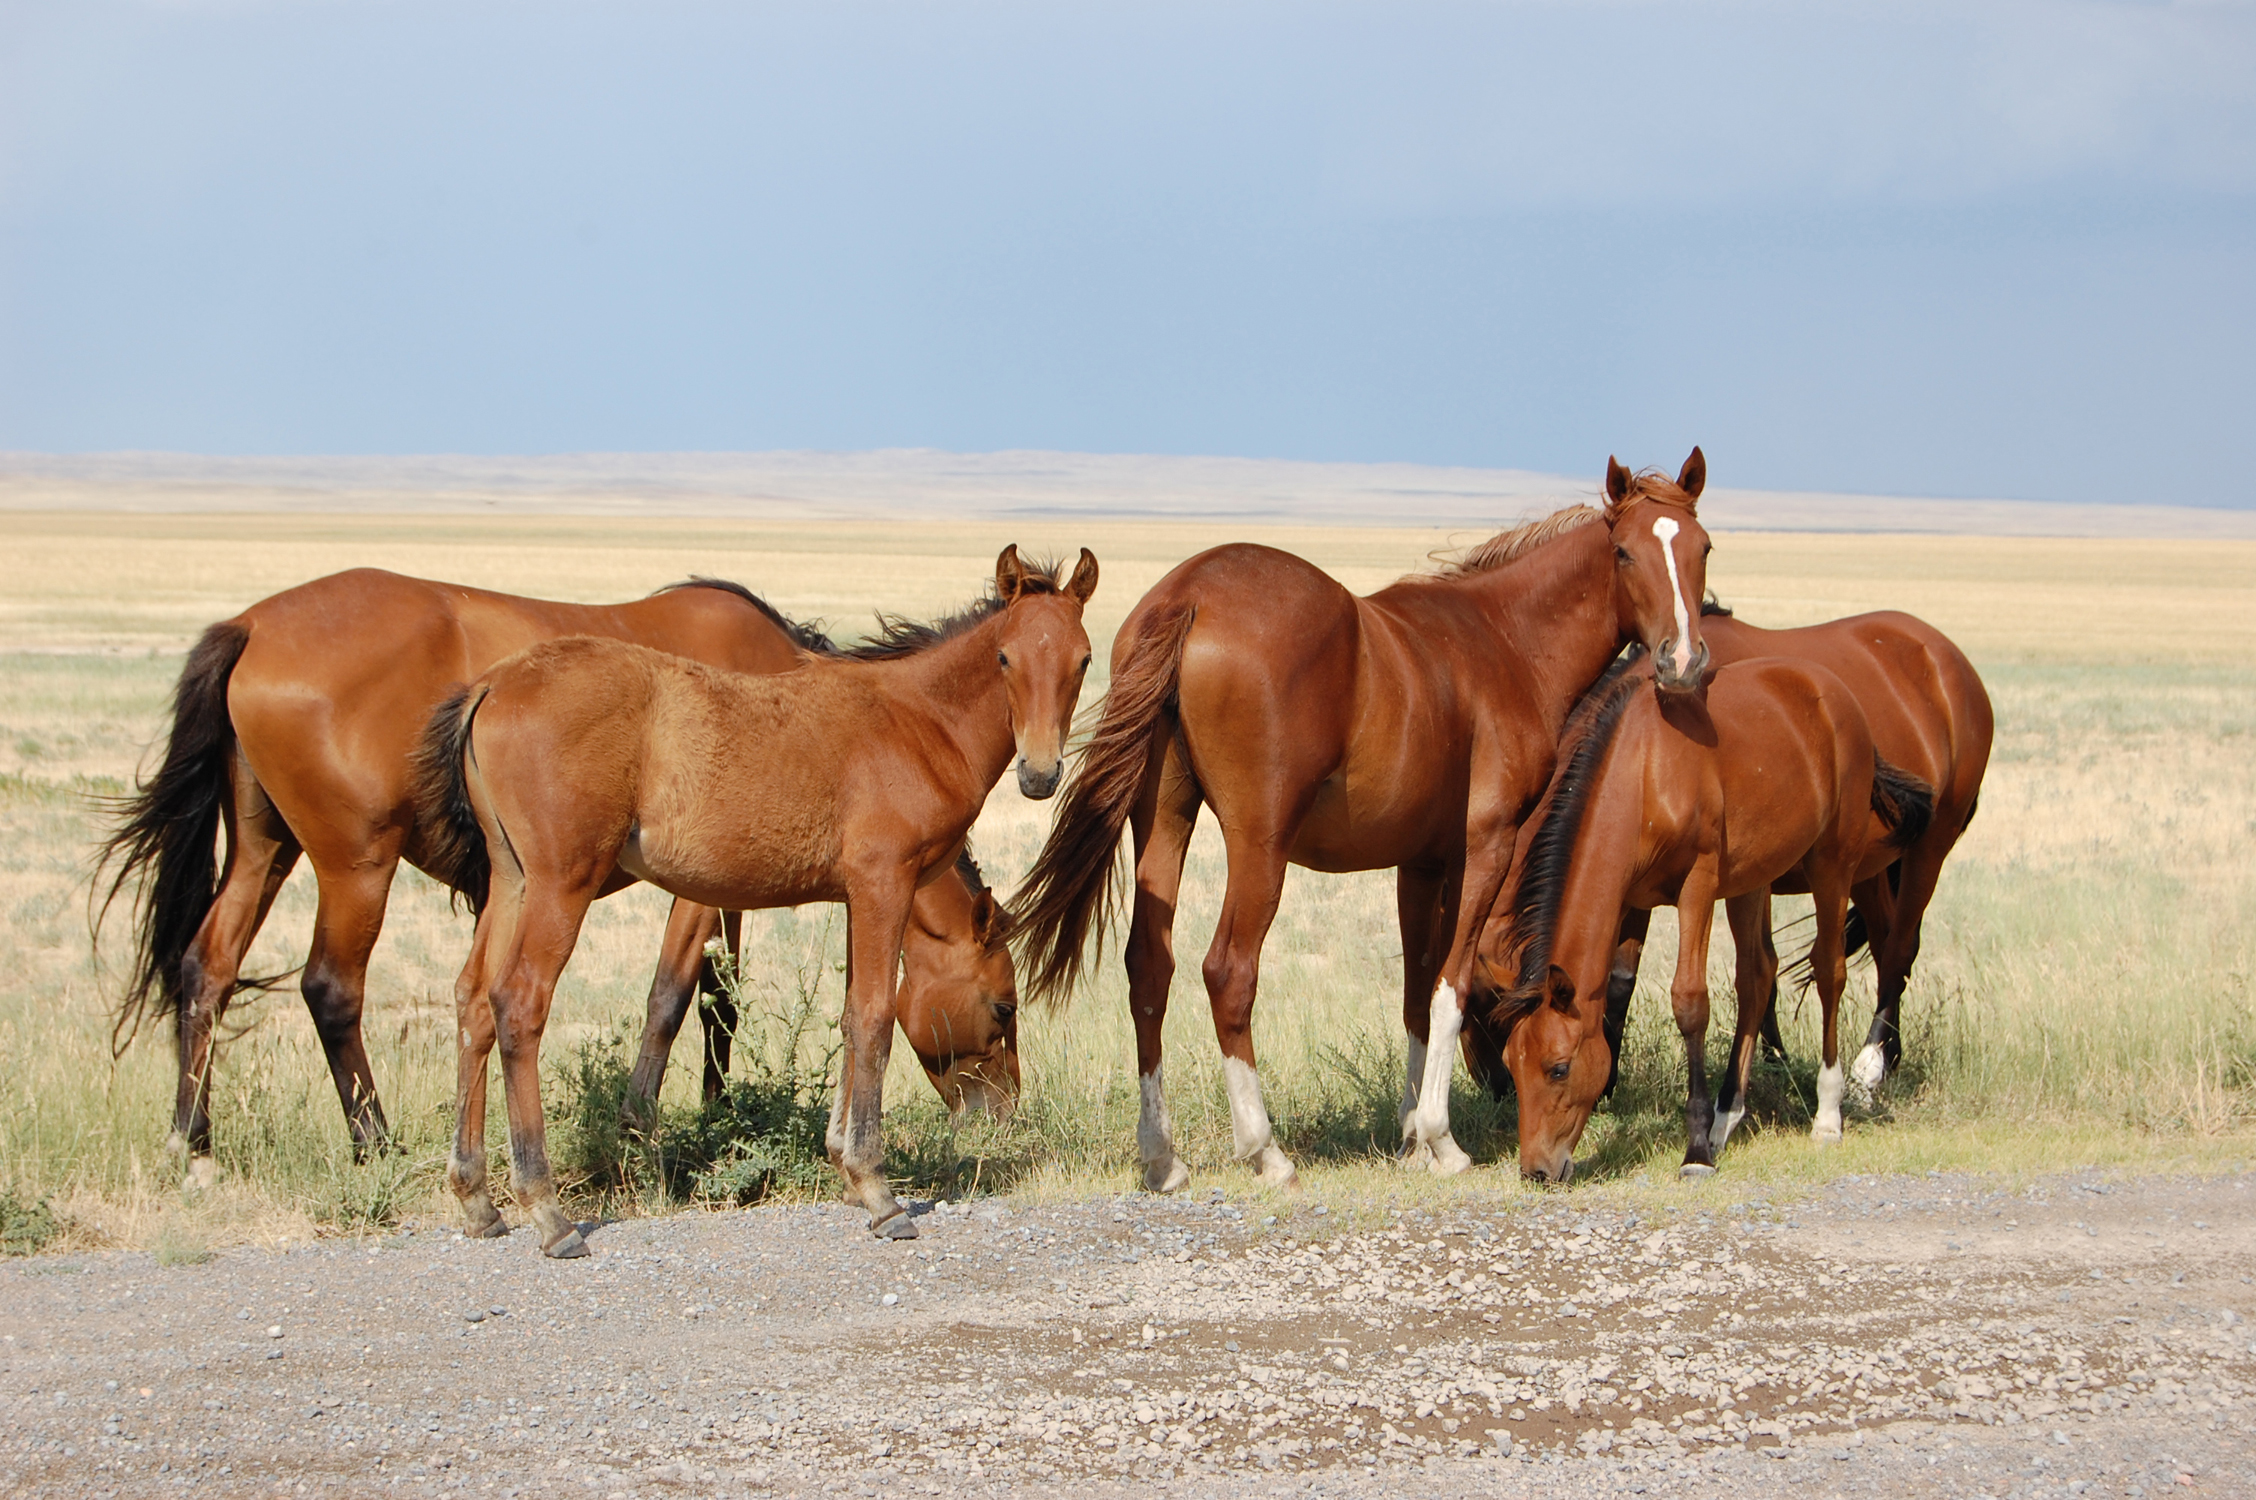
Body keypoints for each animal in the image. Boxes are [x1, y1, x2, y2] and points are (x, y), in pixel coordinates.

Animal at [99, 563, 1024, 1172]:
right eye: (1005, 1008)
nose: (1005, 1116)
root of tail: (254, 624)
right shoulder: (698, 891)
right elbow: (674, 999)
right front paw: (643, 1129)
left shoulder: (733, 892)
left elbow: (720, 1007)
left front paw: (718, 1112)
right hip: (355, 864)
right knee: (331, 989)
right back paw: (377, 1143)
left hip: (266, 851)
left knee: (206, 968)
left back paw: (194, 1142)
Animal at [421, 543, 1100, 1245]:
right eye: (1005, 658)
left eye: (1082, 659)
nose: (1040, 774)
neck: (916, 722)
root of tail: (493, 685)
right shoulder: (884, 883)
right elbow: (875, 1018)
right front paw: (877, 1191)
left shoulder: (856, 896)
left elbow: (851, 1018)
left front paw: (843, 1165)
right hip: (562, 884)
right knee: (518, 1002)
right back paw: (547, 1210)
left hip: (512, 882)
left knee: (473, 1001)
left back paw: (477, 1199)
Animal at [1015, 451, 1714, 1190]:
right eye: (1624, 552)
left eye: (1702, 548)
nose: (1681, 660)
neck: (1506, 641)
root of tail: (1190, 594)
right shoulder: (1485, 848)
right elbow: (1449, 985)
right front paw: (1440, 1139)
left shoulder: (1420, 862)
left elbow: (1415, 990)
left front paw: (1409, 1135)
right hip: (1260, 848)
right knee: (1228, 973)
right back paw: (1265, 1150)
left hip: (1165, 822)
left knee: (1150, 967)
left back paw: (1161, 1156)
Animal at [1479, 654, 1940, 1181]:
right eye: (1513, 1062)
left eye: (1558, 1067)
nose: (1535, 1170)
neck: (1644, 772)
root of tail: (1836, 693)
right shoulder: (1629, 900)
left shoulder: (1696, 887)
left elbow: (1689, 1003)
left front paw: (1696, 1147)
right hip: (1752, 878)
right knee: (1758, 975)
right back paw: (1728, 1115)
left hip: (1832, 864)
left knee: (1829, 971)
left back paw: (1827, 1112)